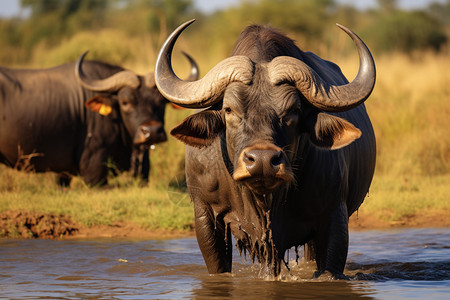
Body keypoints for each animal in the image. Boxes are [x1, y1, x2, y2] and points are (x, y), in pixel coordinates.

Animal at [155, 20, 376, 278]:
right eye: (229, 109)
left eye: (293, 111)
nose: (262, 160)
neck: (263, 202)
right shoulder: (205, 215)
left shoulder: (334, 217)